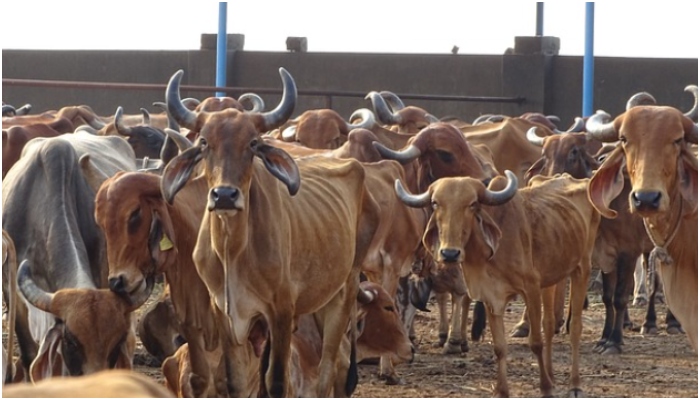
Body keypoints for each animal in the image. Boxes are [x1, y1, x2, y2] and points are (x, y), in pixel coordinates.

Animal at [158, 67, 378, 397]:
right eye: (204, 142)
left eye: (252, 143)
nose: (224, 196)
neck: (233, 251)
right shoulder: (227, 315)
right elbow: (234, 382)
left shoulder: (281, 313)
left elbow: (276, 382)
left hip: (344, 290)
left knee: (331, 368)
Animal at [395, 171, 601, 397]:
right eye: (435, 203)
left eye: (473, 204)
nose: (449, 253)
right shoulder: (491, 297)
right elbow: (500, 347)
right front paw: (502, 390)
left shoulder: (531, 289)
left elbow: (535, 342)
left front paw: (545, 388)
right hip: (552, 277)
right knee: (548, 324)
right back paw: (552, 376)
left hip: (582, 268)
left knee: (575, 328)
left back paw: (574, 385)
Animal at [587, 103, 698, 353]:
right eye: (624, 138)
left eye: (678, 140)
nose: (646, 199)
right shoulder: (607, 254)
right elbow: (608, 296)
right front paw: (603, 338)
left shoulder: (628, 252)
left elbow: (620, 296)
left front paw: (615, 341)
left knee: (654, 287)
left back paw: (660, 323)